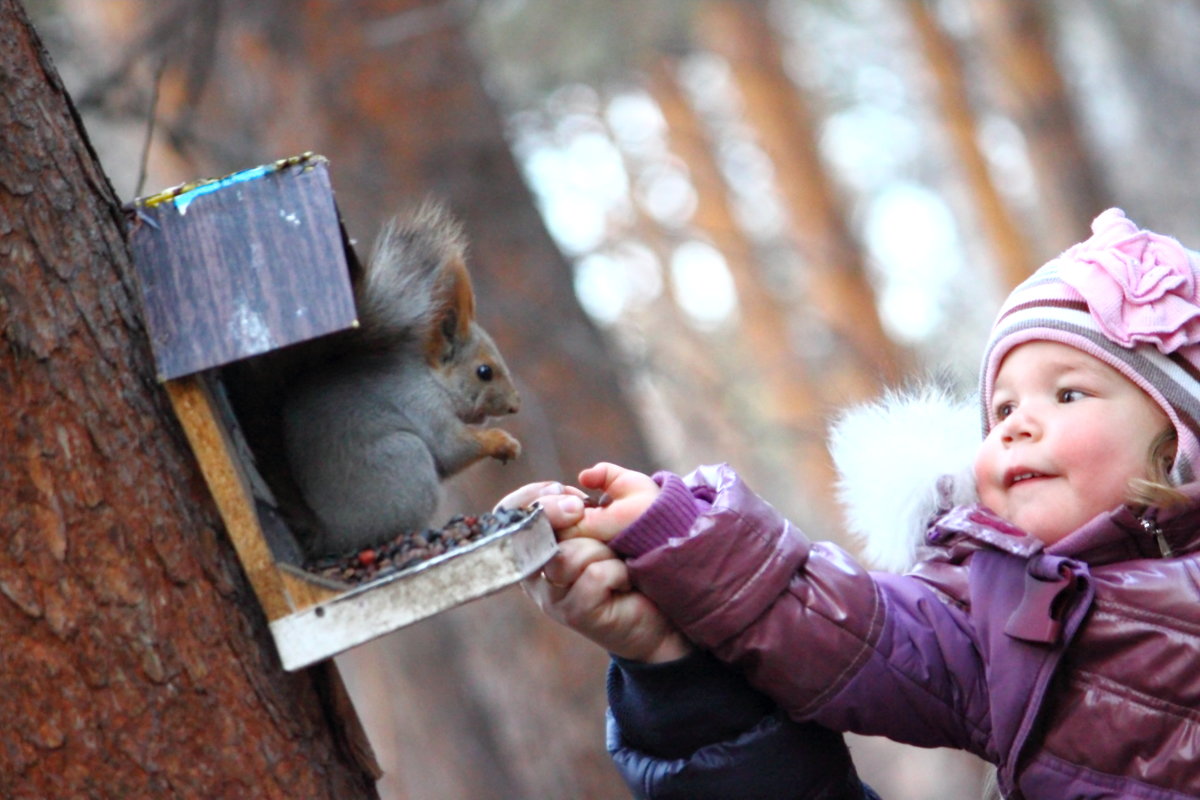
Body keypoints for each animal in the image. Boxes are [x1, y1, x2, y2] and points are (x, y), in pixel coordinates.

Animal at [283, 203, 523, 561]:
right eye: (484, 372)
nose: (514, 405)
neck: (431, 380)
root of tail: (330, 536)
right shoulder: (422, 407)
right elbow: (451, 448)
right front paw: (502, 442)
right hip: (404, 460)